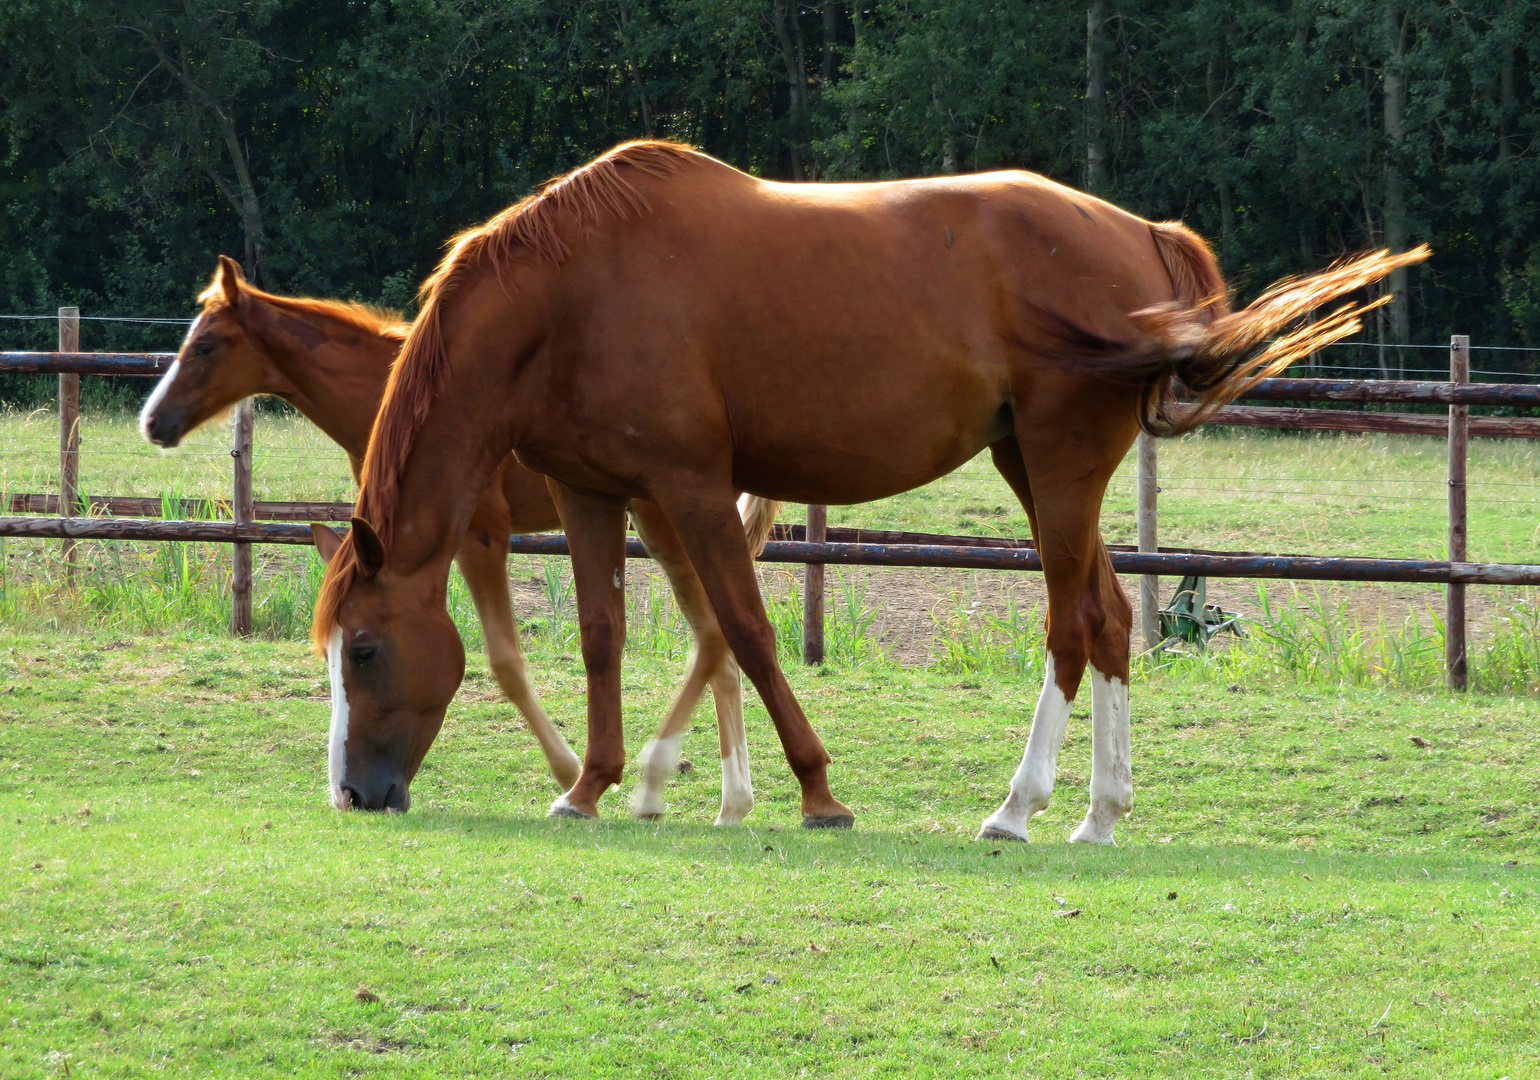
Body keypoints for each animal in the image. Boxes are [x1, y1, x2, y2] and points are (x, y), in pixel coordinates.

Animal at [140, 258, 776, 819]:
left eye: (204, 345)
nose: (153, 421)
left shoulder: (479, 534)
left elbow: (505, 662)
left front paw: (570, 772)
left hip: (660, 515)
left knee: (715, 635)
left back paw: (687, 792)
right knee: (715, 643)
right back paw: (724, 802)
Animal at [312, 140, 1429, 831]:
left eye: (363, 649)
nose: (356, 794)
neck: (570, 294)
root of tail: (1143, 235)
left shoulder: (691, 485)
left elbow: (746, 630)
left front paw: (816, 793)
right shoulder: (594, 493)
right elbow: (600, 638)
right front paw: (588, 786)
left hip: (1060, 466)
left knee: (1071, 624)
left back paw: (1016, 809)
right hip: (1031, 466)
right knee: (1110, 619)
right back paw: (1096, 817)